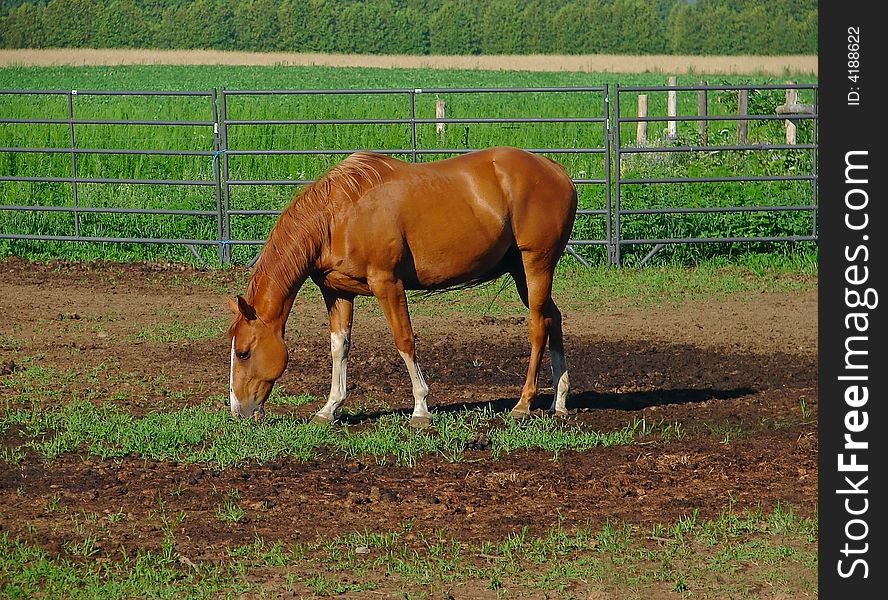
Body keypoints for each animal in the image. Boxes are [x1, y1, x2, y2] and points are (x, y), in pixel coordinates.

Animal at [227, 146, 576, 426]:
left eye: (243, 352)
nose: (237, 410)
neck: (337, 216)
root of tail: (556, 170)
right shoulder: (338, 292)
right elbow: (339, 348)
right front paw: (329, 408)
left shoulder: (387, 283)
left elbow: (404, 340)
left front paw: (421, 409)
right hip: (522, 272)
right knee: (553, 318)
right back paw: (559, 402)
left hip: (536, 264)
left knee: (538, 326)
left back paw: (523, 403)